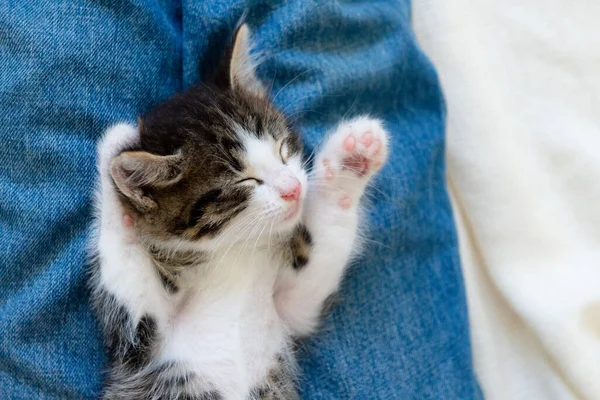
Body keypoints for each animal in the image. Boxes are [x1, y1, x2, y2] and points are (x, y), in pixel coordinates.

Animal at [89, 25, 390, 400]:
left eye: (283, 148)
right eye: (245, 181)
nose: (294, 188)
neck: (234, 251)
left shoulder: (291, 307)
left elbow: (321, 251)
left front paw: (352, 160)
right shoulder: (142, 341)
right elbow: (126, 269)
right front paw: (112, 149)